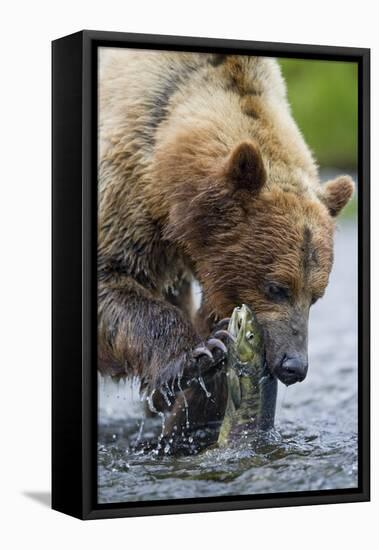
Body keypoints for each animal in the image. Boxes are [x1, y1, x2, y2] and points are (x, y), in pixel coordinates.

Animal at [97, 49, 354, 446]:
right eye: (276, 287)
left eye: (316, 296)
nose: (294, 365)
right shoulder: (126, 188)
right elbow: (113, 278)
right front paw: (199, 354)